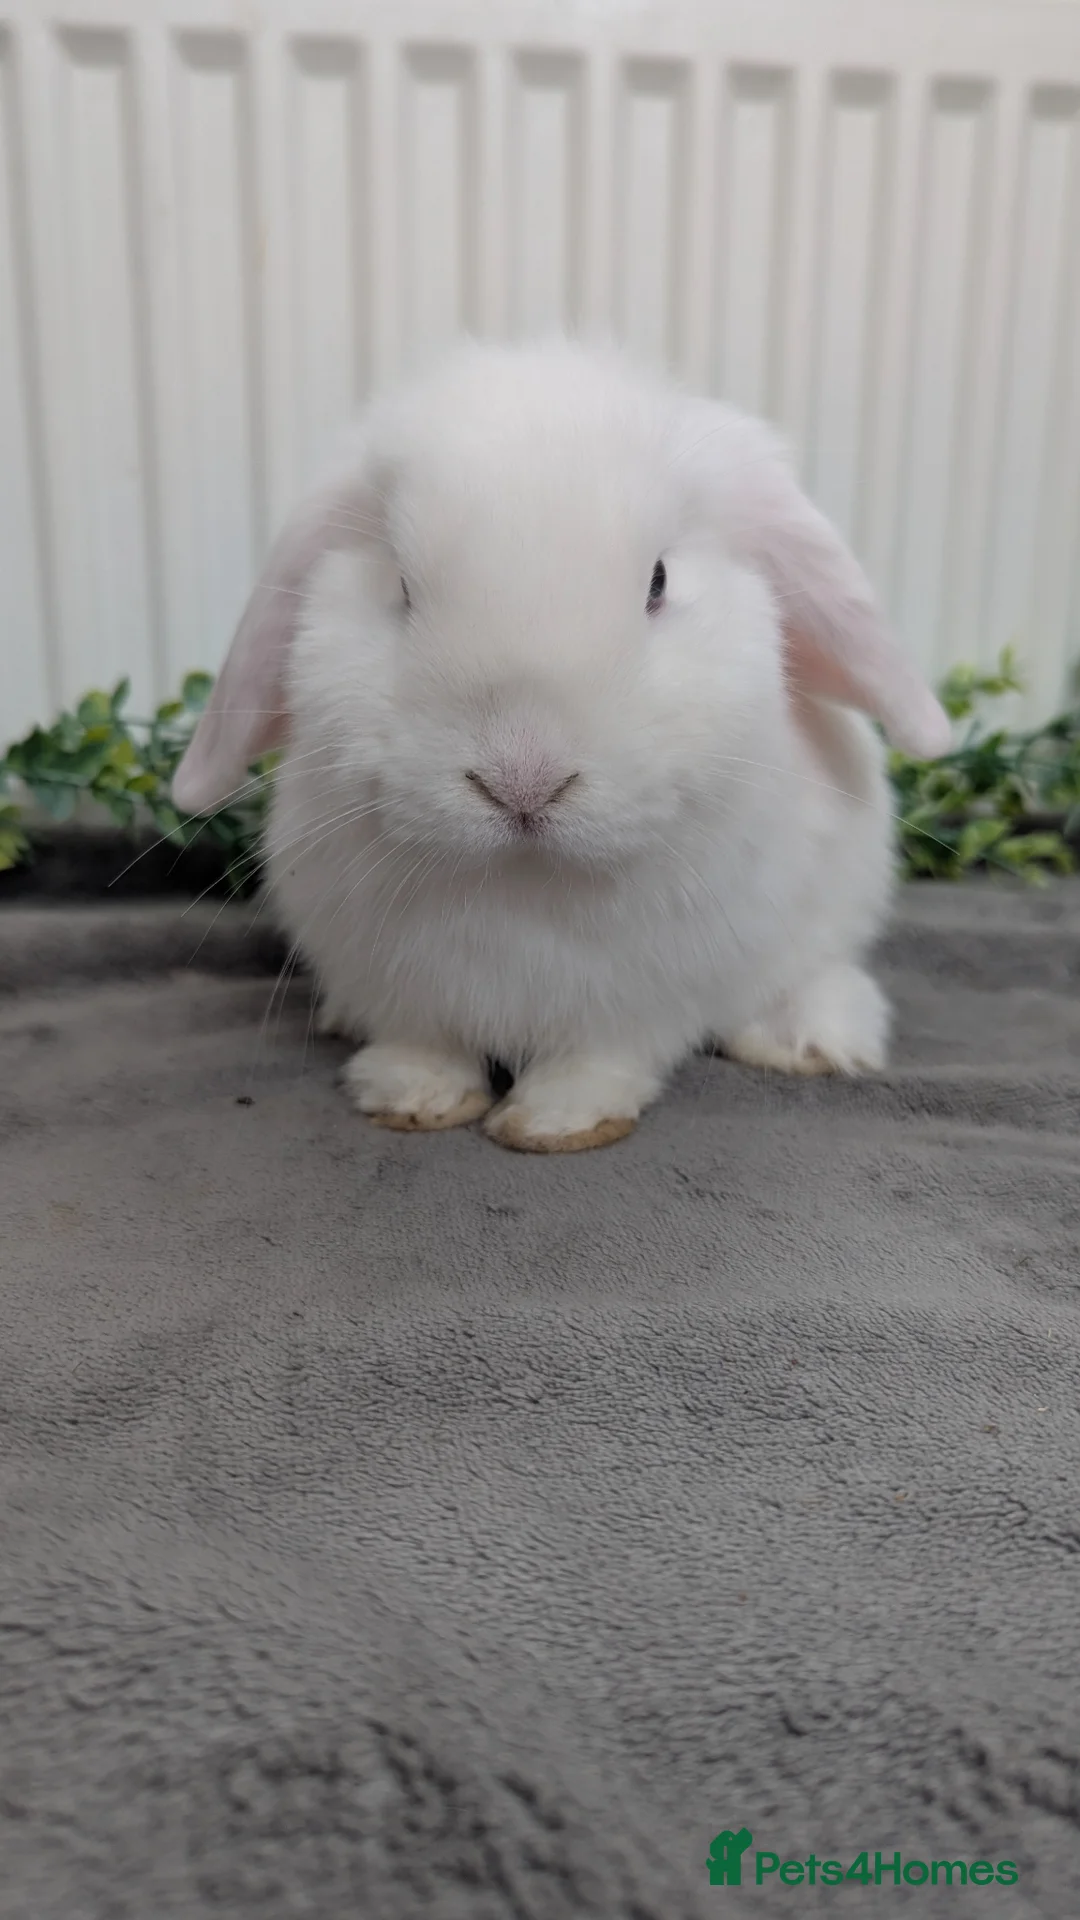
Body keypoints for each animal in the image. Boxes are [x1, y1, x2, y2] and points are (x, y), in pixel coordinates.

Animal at [172, 337, 950, 1153]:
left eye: (658, 581)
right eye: (402, 588)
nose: (523, 781)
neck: (526, 884)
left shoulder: (641, 998)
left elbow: (601, 1056)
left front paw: (558, 1121)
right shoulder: (401, 986)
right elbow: (424, 1042)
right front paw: (412, 1097)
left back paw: (815, 1039)